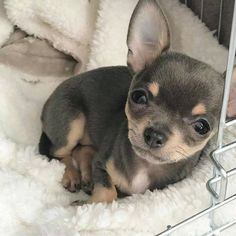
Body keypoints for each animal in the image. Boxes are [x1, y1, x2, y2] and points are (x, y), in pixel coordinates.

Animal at [38, 0, 236, 203]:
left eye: (202, 127)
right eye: (138, 97)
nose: (155, 135)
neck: (145, 165)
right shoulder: (100, 164)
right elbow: (107, 193)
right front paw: (91, 203)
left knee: (82, 150)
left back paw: (86, 177)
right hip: (71, 122)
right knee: (60, 153)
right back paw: (72, 175)